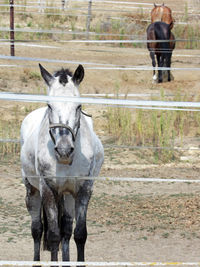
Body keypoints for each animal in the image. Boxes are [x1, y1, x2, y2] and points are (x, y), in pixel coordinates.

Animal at [20, 63, 104, 266]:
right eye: (49, 105)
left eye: (78, 106)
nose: (64, 150)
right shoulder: (48, 190)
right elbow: (53, 236)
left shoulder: (83, 190)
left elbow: (79, 234)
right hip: (32, 191)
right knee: (37, 230)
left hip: (68, 195)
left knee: (66, 230)